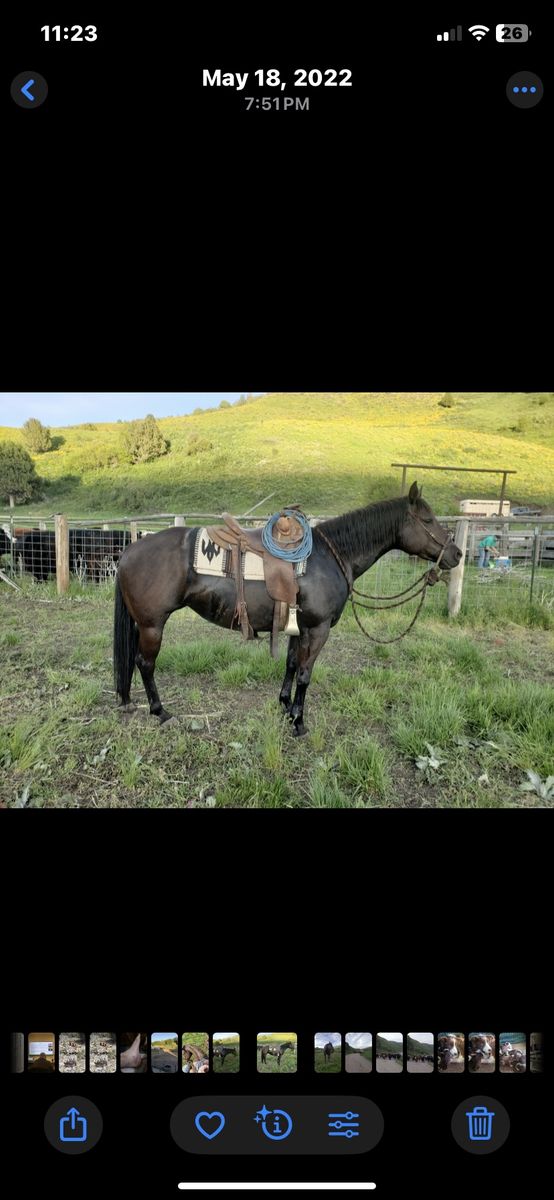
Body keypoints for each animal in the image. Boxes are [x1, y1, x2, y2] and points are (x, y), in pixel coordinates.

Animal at [113, 483, 462, 734]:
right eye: (428, 520)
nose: (456, 554)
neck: (329, 556)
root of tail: (130, 549)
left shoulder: (299, 627)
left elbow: (292, 664)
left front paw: (284, 706)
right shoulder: (318, 629)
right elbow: (306, 674)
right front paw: (299, 721)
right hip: (152, 625)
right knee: (145, 663)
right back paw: (161, 712)